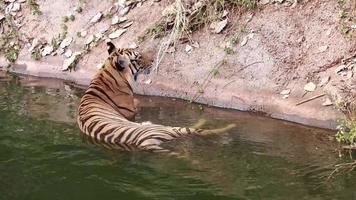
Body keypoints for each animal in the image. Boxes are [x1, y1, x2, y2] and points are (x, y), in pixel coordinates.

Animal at [76, 41, 235, 152]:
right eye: (138, 58)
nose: (153, 60)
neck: (106, 74)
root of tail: (147, 142)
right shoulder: (131, 111)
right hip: (163, 128)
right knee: (195, 129)